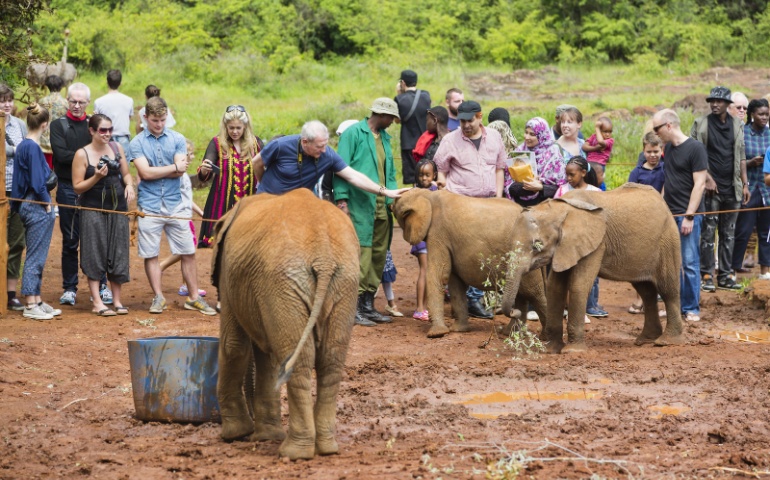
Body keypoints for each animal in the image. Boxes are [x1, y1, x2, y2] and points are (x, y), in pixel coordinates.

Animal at [210, 189, 360, 460]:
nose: (252, 433)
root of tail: (323, 255)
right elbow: (267, 356)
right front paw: (264, 436)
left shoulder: (229, 275)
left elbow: (233, 345)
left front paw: (235, 435)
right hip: (342, 282)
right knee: (329, 360)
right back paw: (326, 449)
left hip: (286, 279)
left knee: (296, 360)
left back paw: (294, 452)